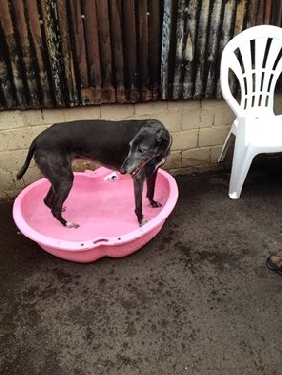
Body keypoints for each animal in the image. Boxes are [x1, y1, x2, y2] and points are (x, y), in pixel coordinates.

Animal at [17, 119, 172, 228]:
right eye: (129, 146)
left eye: (141, 150)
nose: (122, 171)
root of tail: (37, 139)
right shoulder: (138, 178)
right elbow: (138, 206)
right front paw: (141, 221)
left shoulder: (154, 170)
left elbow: (151, 191)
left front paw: (152, 203)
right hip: (65, 179)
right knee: (55, 208)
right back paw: (67, 223)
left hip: (57, 178)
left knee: (48, 200)